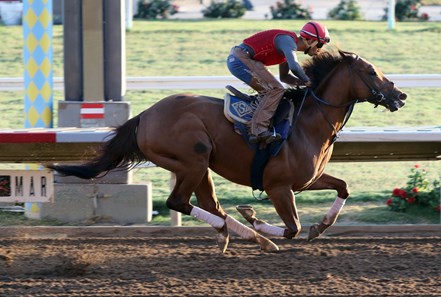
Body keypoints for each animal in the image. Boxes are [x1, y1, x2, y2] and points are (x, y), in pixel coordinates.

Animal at [48, 49, 406, 251]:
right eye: (372, 72)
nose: (400, 95)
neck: (308, 123)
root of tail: (143, 116)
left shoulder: (307, 180)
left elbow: (342, 188)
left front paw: (319, 226)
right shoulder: (279, 187)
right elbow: (292, 228)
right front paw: (257, 219)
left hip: (199, 167)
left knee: (210, 205)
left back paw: (248, 238)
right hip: (192, 158)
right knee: (180, 202)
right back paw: (249, 235)